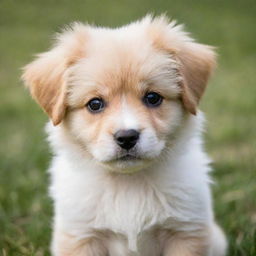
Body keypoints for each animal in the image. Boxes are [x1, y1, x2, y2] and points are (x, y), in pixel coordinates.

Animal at [21, 15, 226, 255]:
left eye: (153, 98)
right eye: (95, 104)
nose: (127, 137)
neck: (128, 184)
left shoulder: (186, 232)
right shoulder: (81, 236)